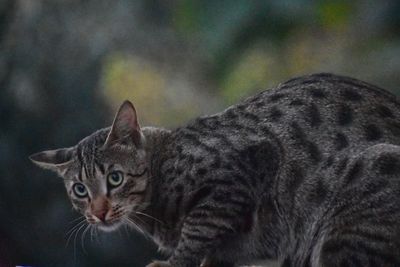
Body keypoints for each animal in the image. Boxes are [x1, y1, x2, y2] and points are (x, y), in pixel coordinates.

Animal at [29, 73, 400, 267]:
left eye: (115, 178)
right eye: (80, 190)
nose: (99, 212)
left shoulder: (243, 170)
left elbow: (198, 228)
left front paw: (173, 263)